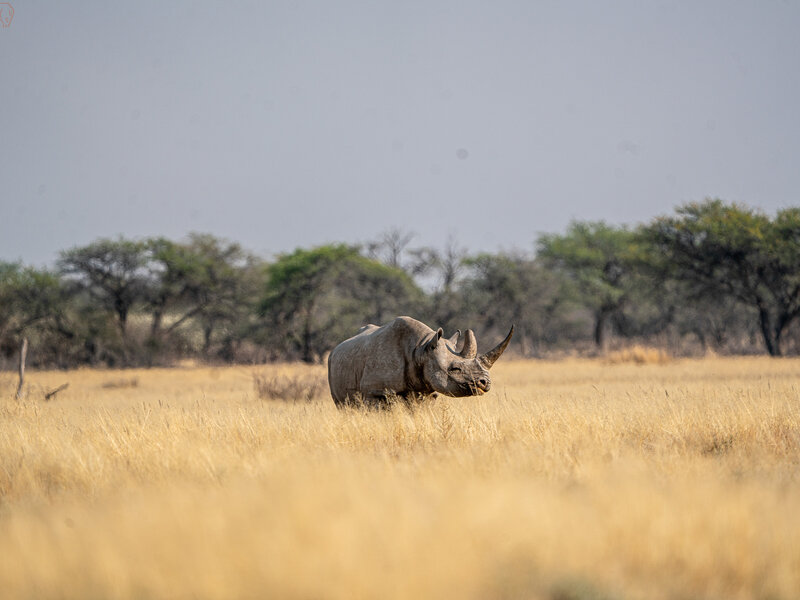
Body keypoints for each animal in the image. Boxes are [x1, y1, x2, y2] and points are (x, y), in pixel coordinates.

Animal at [327, 316, 513, 407]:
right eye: (454, 369)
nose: (485, 382)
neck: (421, 349)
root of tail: (335, 349)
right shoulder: (375, 392)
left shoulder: (427, 391)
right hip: (332, 364)